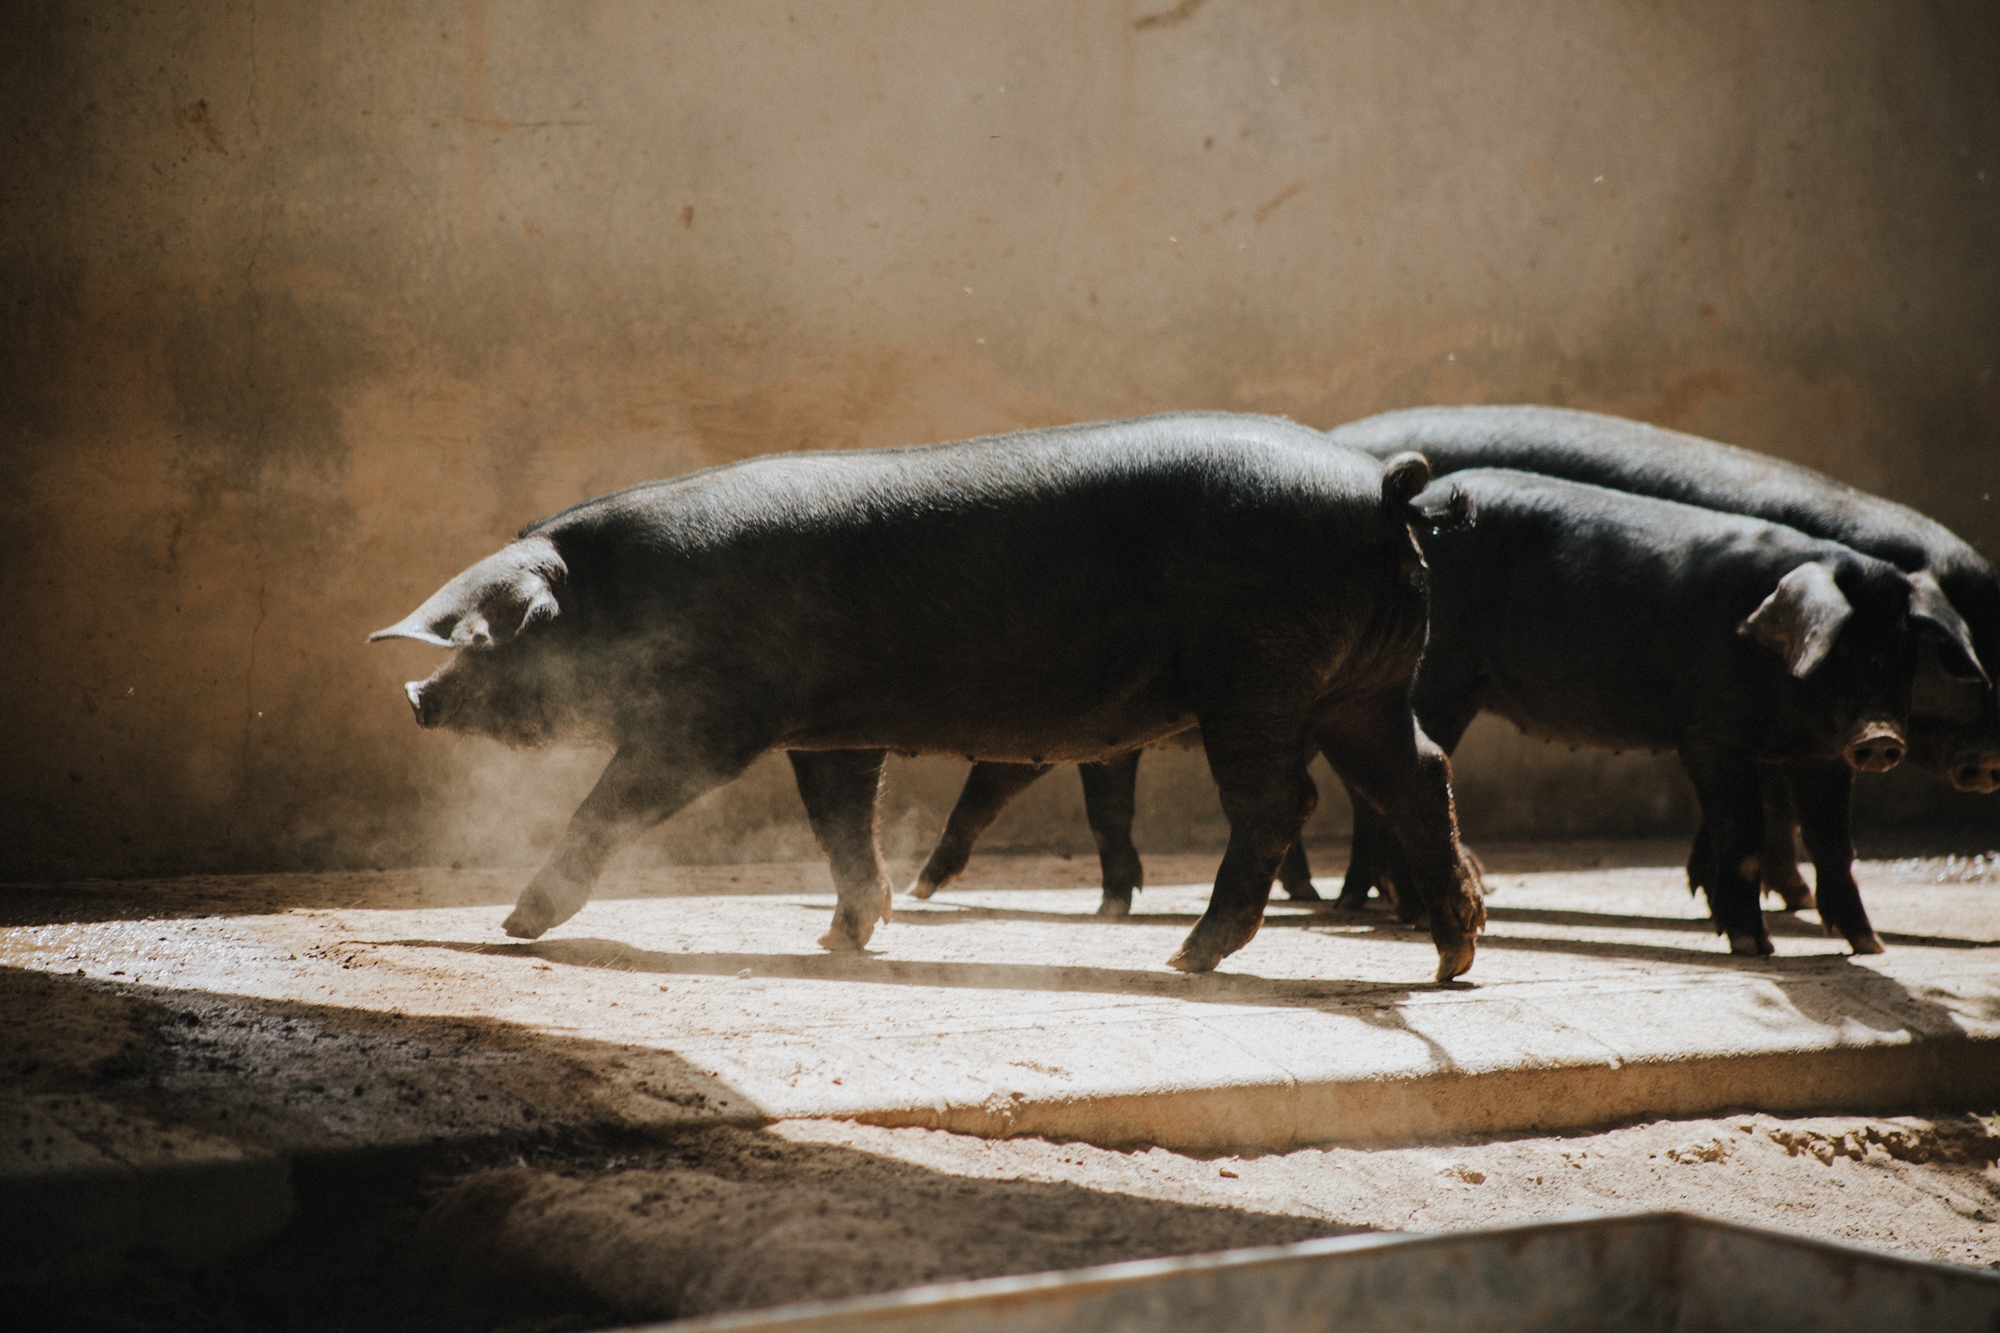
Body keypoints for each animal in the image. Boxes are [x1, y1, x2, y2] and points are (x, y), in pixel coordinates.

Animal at [376, 412, 1488, 976]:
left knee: (1280, 801)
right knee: (1417, 772)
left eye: (494, 637)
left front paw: (515, 926)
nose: (415, 698)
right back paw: (1450, 956)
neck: (622, 593)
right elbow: (840, 821)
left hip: (1258, 676)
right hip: (1364, 682)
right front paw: (840, 937)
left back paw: (1187, 956)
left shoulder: (709, 720)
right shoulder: (828, 731)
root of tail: (1382, 487)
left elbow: (612, 802)